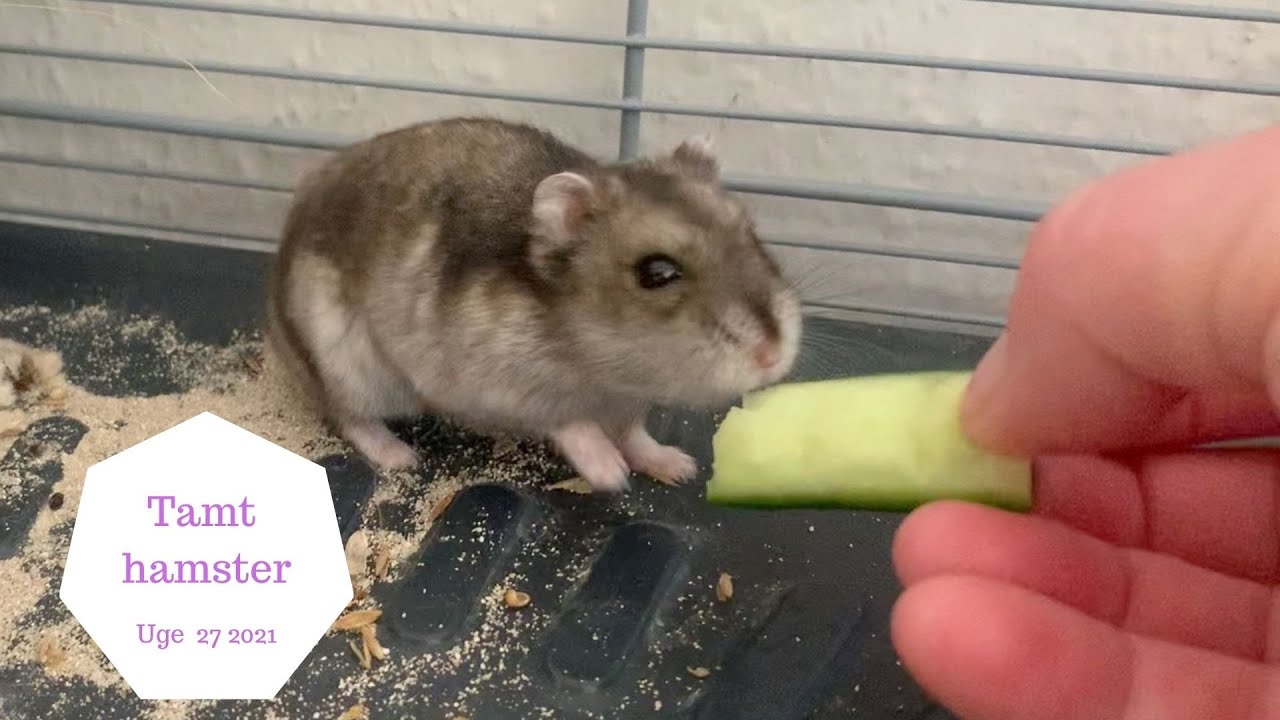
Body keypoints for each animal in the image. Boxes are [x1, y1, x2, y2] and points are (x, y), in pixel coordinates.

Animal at [265, 117, 802, 493]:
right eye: (656, 273)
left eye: (751, 233)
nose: (774, 355)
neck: (608, 366)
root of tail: (273, 331)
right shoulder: (503, 385)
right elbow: (569, 423)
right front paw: (612, 477)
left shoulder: (629, 403)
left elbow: (634, 434)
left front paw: (680, 467)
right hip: (344, 363)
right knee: (349, 417)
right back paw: (401, 456)